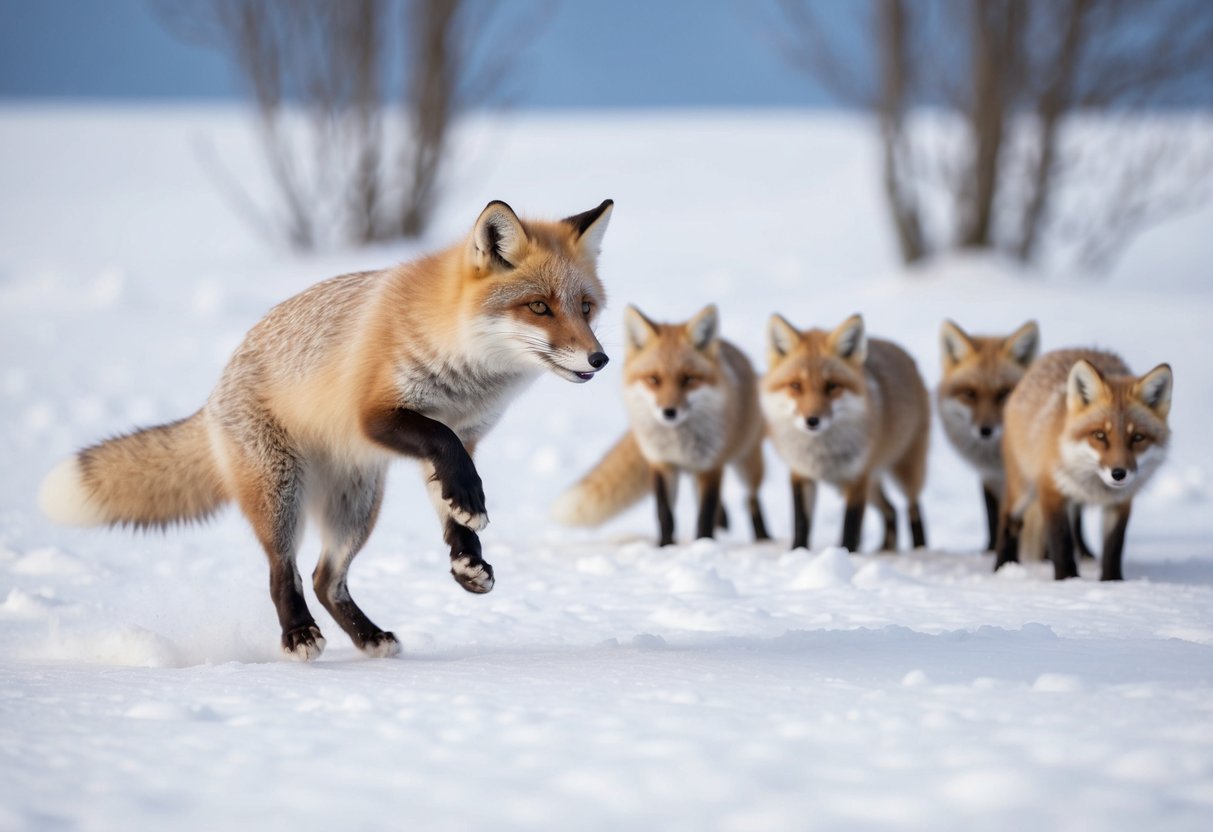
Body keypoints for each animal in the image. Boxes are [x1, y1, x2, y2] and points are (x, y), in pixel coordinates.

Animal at [38, 199, 615, 660]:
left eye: (586, 308)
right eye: (538, 307)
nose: (601, 359)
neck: (467, 372)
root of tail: (214, 393)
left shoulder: (467, 434)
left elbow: (454, 502)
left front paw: (467, 560)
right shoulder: (378, 416)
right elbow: (446, 450)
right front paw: (470, 520)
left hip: (356, 506)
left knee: (324, 579)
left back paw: (368, 636)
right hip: (282, 492)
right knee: (283, 572)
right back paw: (298, 635)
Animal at [551, 304, 769, 546]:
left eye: (688, 379)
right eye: (654, 379)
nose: (669, 412)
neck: (678, 442)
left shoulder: (711, 465)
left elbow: (705, 514)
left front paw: (703, 544)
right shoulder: (662, 463)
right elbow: (665, 513)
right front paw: (666, 546)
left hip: (747, 462)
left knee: (751, 499)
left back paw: (762, 537)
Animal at [761, 313, 930, 553]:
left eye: (832, 386)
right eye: (796, 385)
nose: (812, 421)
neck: (821, 454)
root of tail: (904, 354)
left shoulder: (857, 477)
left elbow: (850, 525)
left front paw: (847, 554)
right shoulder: (801, 473)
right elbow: (801, 523)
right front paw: (798, 553)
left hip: (905, 470)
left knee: (913, 508)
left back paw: (919, 550)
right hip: (870, 484)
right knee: (891, 510)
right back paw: (886, 549)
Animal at [937, 319, 1039, 550]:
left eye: (1003, 393)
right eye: (969, 394)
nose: (985, 430)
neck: (996, 460)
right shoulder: (990, 478)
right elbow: (993, 518)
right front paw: (991, 549)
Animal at [995, 349, 1172, 581]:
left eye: (1137, 437)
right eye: (1100, 435)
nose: (1119, 474)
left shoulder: (1120, 502)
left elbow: (1113, 547)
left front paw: (1112, 581)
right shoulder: (1052, 490)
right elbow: (1061, 542)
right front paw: (1067, 580)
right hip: (1023, 488)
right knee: (1009, 519)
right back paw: (1003, 567)